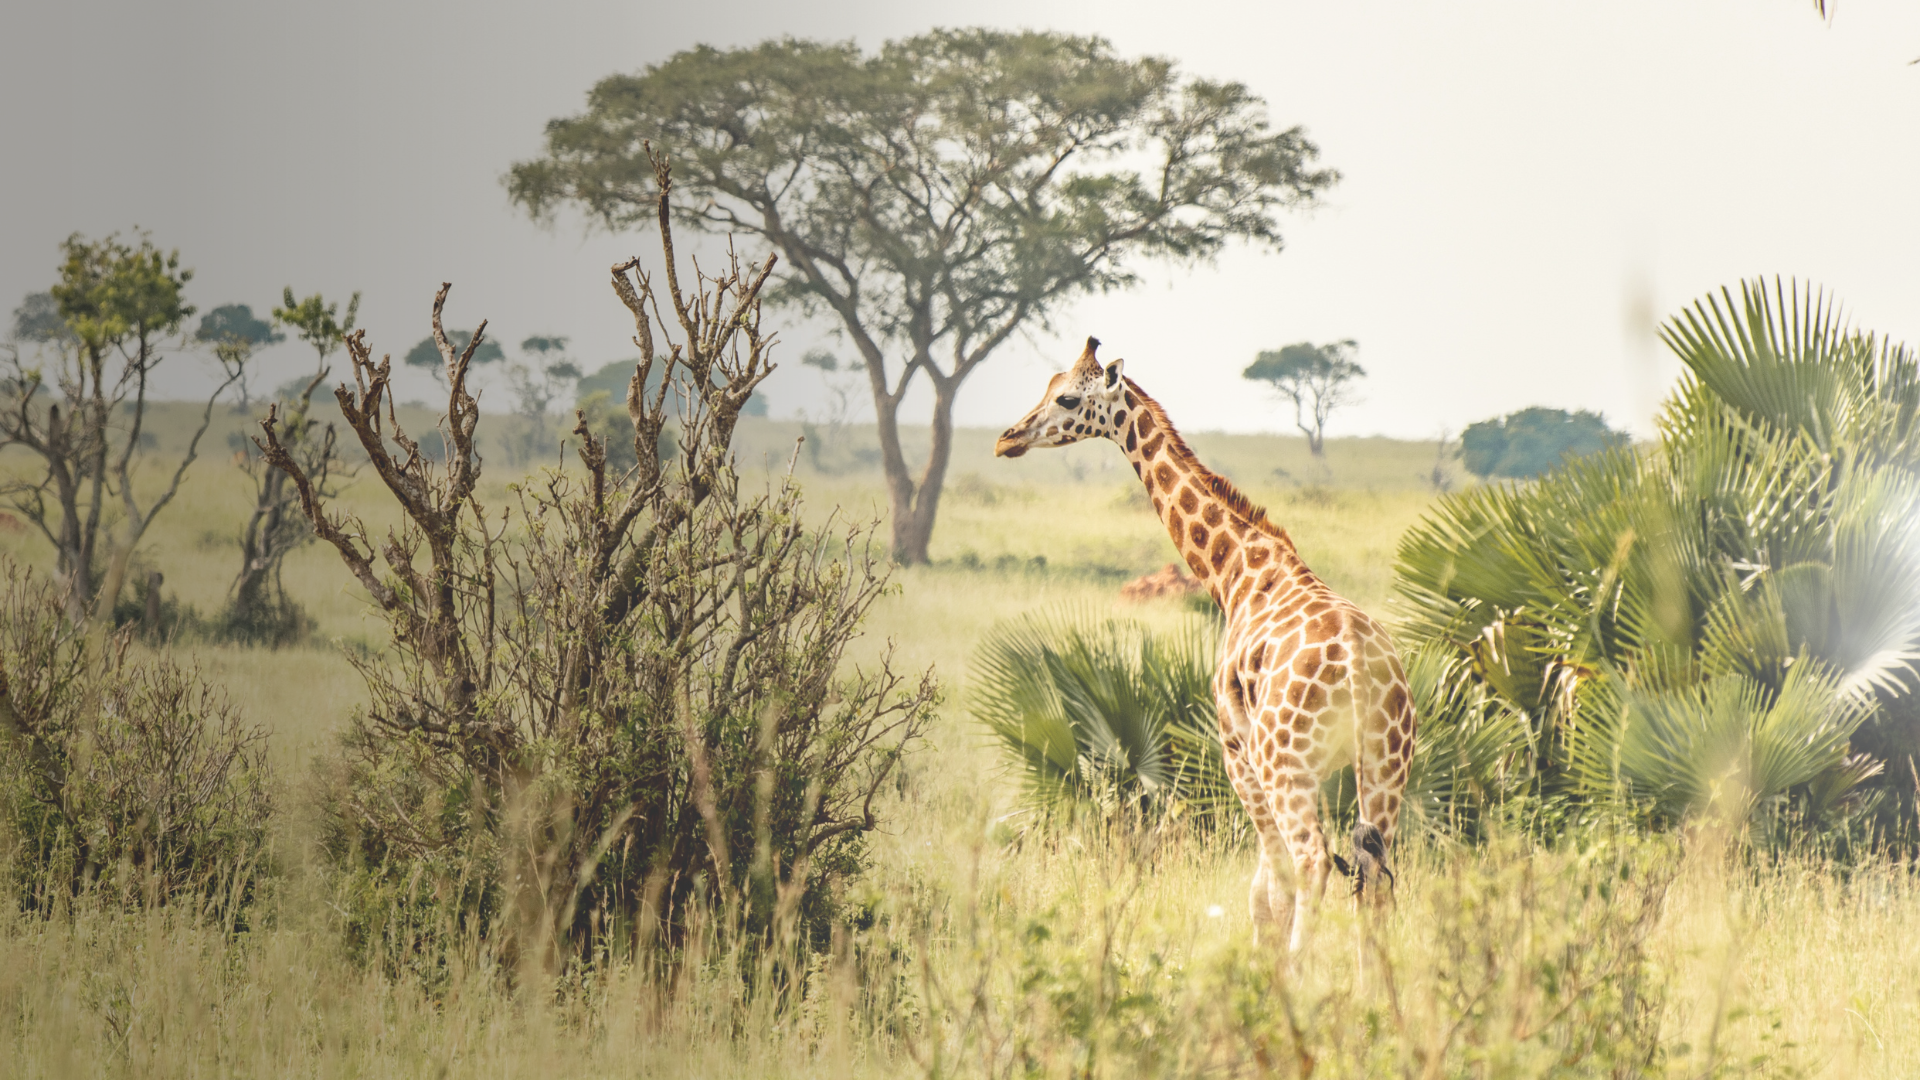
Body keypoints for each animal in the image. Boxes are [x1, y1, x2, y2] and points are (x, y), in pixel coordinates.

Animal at [995, 337, 1417, 952]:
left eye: (1067, 397)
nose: (1008, 438)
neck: (1236, 572)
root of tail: (1363, 668)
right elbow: (1272, 889)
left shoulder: (1235, 751)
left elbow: (1267, 892)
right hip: (1386, 763)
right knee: (1375, 879)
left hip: (1287, 764)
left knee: (1313, 861)